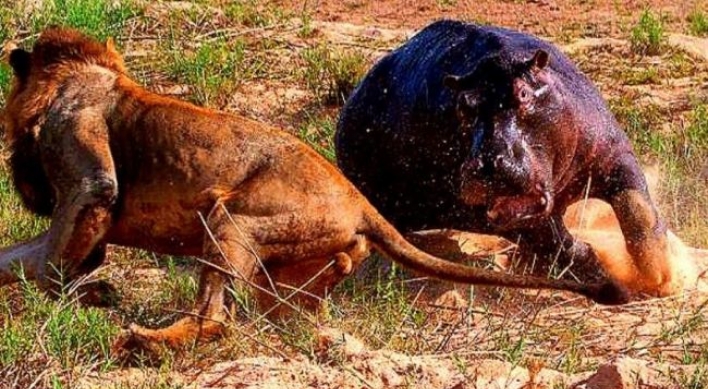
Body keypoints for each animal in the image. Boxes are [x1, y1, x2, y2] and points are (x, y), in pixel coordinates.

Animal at [0, 28, 624, 348]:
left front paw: (71, 297)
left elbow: (61, 249)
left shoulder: (87, 177)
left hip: (229, 219)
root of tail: (360, 201)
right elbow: (20, 257)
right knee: (303, 299)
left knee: (215, 318)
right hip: (289, 255)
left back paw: (147, 340)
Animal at [336, 19, 680, 298]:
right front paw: (608, 276)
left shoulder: (612, 153)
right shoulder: (489, 214)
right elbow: (556, 242)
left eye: (523, 93)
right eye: (463, 106)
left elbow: (637, 209)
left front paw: (660, 276)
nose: (489, 164)